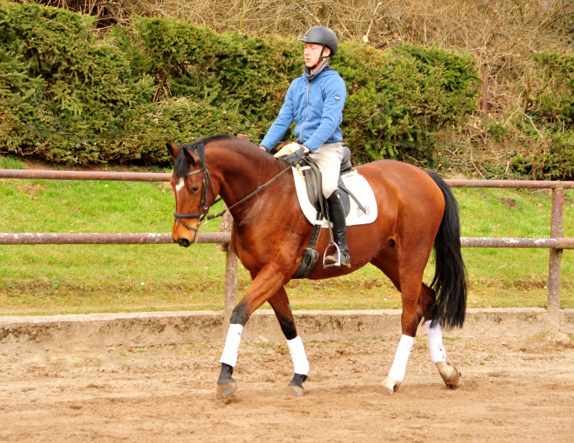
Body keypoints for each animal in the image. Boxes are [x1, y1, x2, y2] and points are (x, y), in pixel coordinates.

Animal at [166, 134, 468, 398]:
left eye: (194, 188)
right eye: (171, 186)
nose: (181, 237)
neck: (263, 196)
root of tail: (424, 175)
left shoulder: (277, 269)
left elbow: (240, 313)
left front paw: (225, 378)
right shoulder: (263, 272)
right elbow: (287, 323)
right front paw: (299, 376)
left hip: (412, 255)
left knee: (409, 315)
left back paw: (393, 379)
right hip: (387, 256)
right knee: (427, 299)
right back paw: (446, 370)